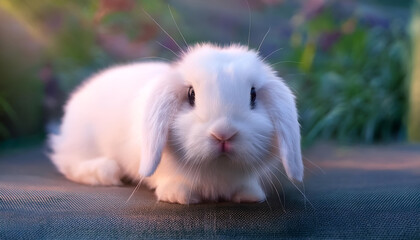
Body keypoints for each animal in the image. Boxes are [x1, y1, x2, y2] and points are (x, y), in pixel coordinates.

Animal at [50, 43, 302, 204]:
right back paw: (104, 172)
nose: (223, 134)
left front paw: (250, 195)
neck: (216, 169)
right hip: (82, 142)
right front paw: (178, 196)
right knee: (68, 162)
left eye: (253, 95)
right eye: (191, 95)